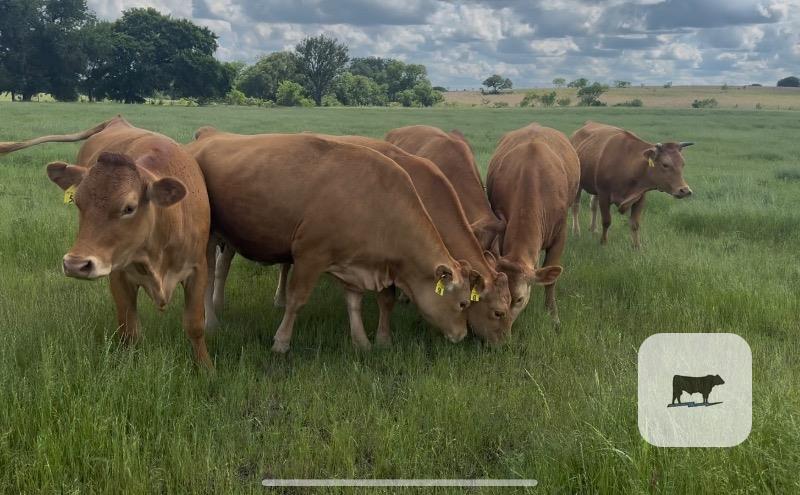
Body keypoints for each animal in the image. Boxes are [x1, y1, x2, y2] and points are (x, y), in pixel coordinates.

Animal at [0, 117, 213, 367]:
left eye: (129, 208)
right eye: (77, 202)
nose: (75, 265)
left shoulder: (198, 269)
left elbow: (195, 325)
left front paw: (206, 368)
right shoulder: (119, 275)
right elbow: (129, 330)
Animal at [184, 128, 473, 352]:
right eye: (463, 303)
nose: (462, 336)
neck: (375, 200)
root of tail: (206, 136)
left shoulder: (354, 262)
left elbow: (354, 303)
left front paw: (361, 341)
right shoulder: (310, 256)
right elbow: (296, 301)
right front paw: (281, 342)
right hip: (209, 239)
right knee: (208, 279)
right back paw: (211, 322)